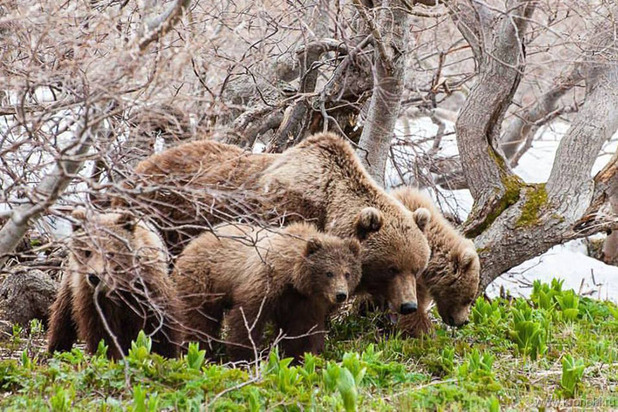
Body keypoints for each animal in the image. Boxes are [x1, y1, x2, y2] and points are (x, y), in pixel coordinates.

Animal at [46, 211, 180, 358]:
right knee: (62, 316)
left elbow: (161, 324)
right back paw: (57, 347)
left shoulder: (148, 288)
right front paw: (110, 355)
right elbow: (102, 332)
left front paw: (167, 352)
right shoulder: (94, 298)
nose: (95, 277)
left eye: (110, 253)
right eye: (87, 251)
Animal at [114, 134, 428, 318]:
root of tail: (136, 169)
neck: (328, 208)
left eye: (417, 267)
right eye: (391, 268)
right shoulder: (286, 216)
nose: (409, 305)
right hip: (164, 218)